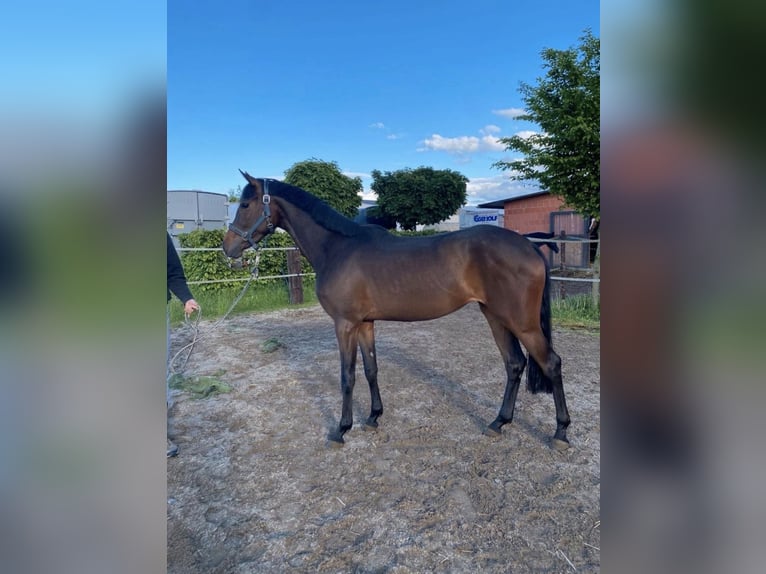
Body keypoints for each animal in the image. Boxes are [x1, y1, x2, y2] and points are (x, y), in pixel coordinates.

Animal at [223, 172, 571, 449]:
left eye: (245, 205)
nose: (228, 248)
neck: (337, 247)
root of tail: (530, 245)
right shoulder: (365, 323)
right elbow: (370, 369)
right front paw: (373, 417)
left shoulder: (344, 324)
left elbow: (347, 376)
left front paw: (341, 430)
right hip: (495, 316)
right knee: (514, 364)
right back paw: (498, 423)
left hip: (522, 322)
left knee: (551, 363)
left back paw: (560, 433)